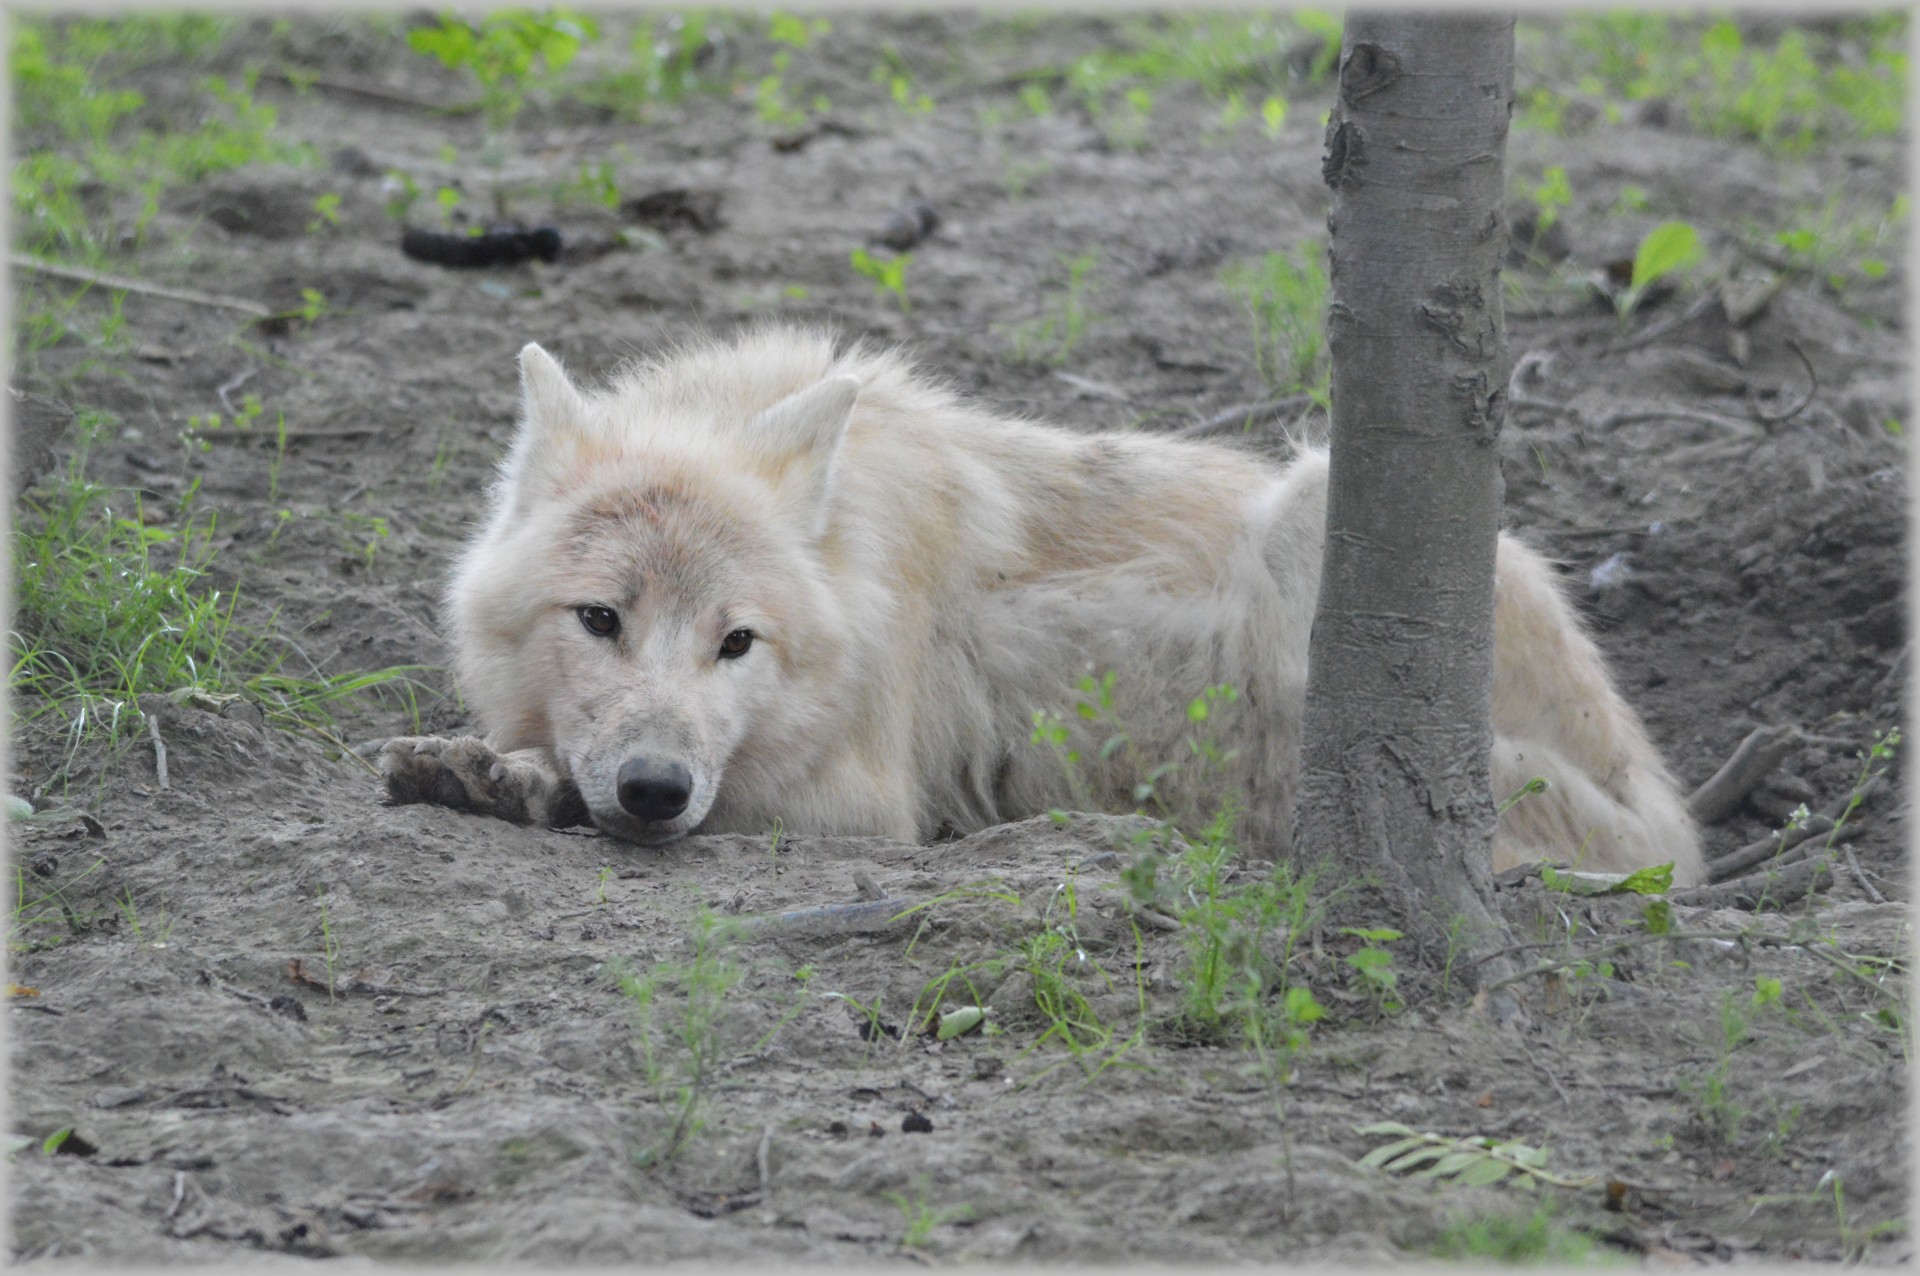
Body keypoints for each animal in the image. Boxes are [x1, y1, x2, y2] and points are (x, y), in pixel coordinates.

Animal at [382, 328, 1704, 882]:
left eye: (736, 643)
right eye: (600, 619)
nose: (657, 789)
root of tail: (1675, 820)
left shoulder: (866, 803)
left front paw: (521, 783)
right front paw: (480, 763)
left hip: (1316, 511)